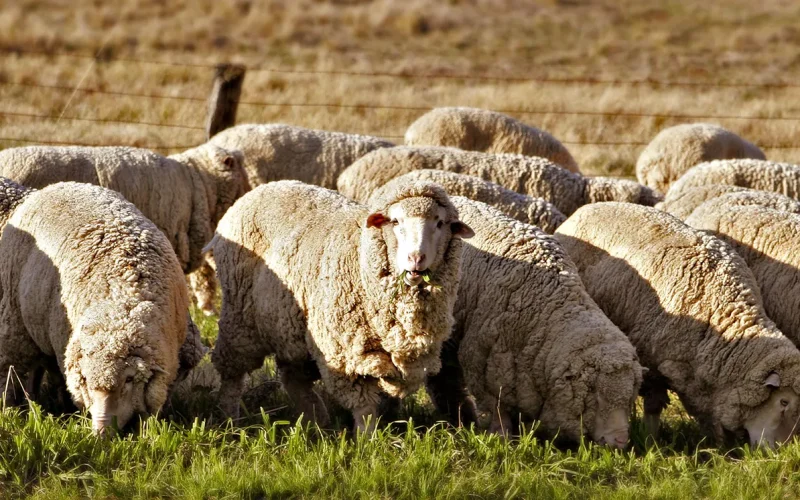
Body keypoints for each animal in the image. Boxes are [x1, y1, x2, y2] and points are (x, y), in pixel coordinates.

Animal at [0, 179, 191, 433]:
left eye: (129, 379)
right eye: (87, 381)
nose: (101, 432)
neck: (123, 300)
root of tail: (56, 185)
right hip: (16, 322)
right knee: (13, 369)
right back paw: (11, 407)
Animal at [207, 180, 473, 431]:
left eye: (440, 223)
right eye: (396, 221)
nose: (416, 259)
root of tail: (260, 189)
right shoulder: (344, 353)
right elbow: (364, 407)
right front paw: (368, 440)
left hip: (290, 328)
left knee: (293, 376)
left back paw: (317, 421)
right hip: (239, 316)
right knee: (233, 373)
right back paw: (230, 418)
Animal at [422, 196, 643, 447]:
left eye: (630, 398)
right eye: (596, 397)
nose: (621, 441)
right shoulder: (483, 364)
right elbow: (497, 408)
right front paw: (502, 437)